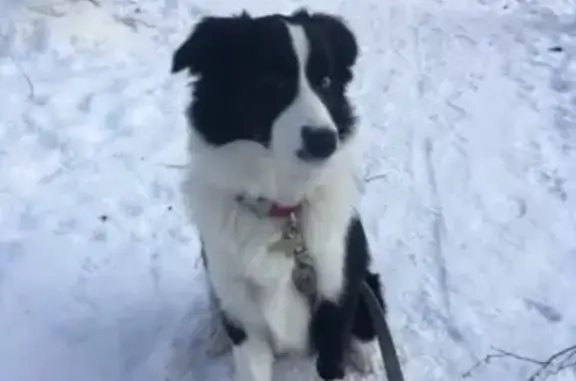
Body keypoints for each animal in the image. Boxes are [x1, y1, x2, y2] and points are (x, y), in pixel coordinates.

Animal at [171, 8, 388, 380]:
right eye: (270, 82)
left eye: (325, 81)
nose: (325, 141)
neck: (280, 207)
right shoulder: (243, 316)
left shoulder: (334, 297)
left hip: (361, 274)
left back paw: (367, 352)